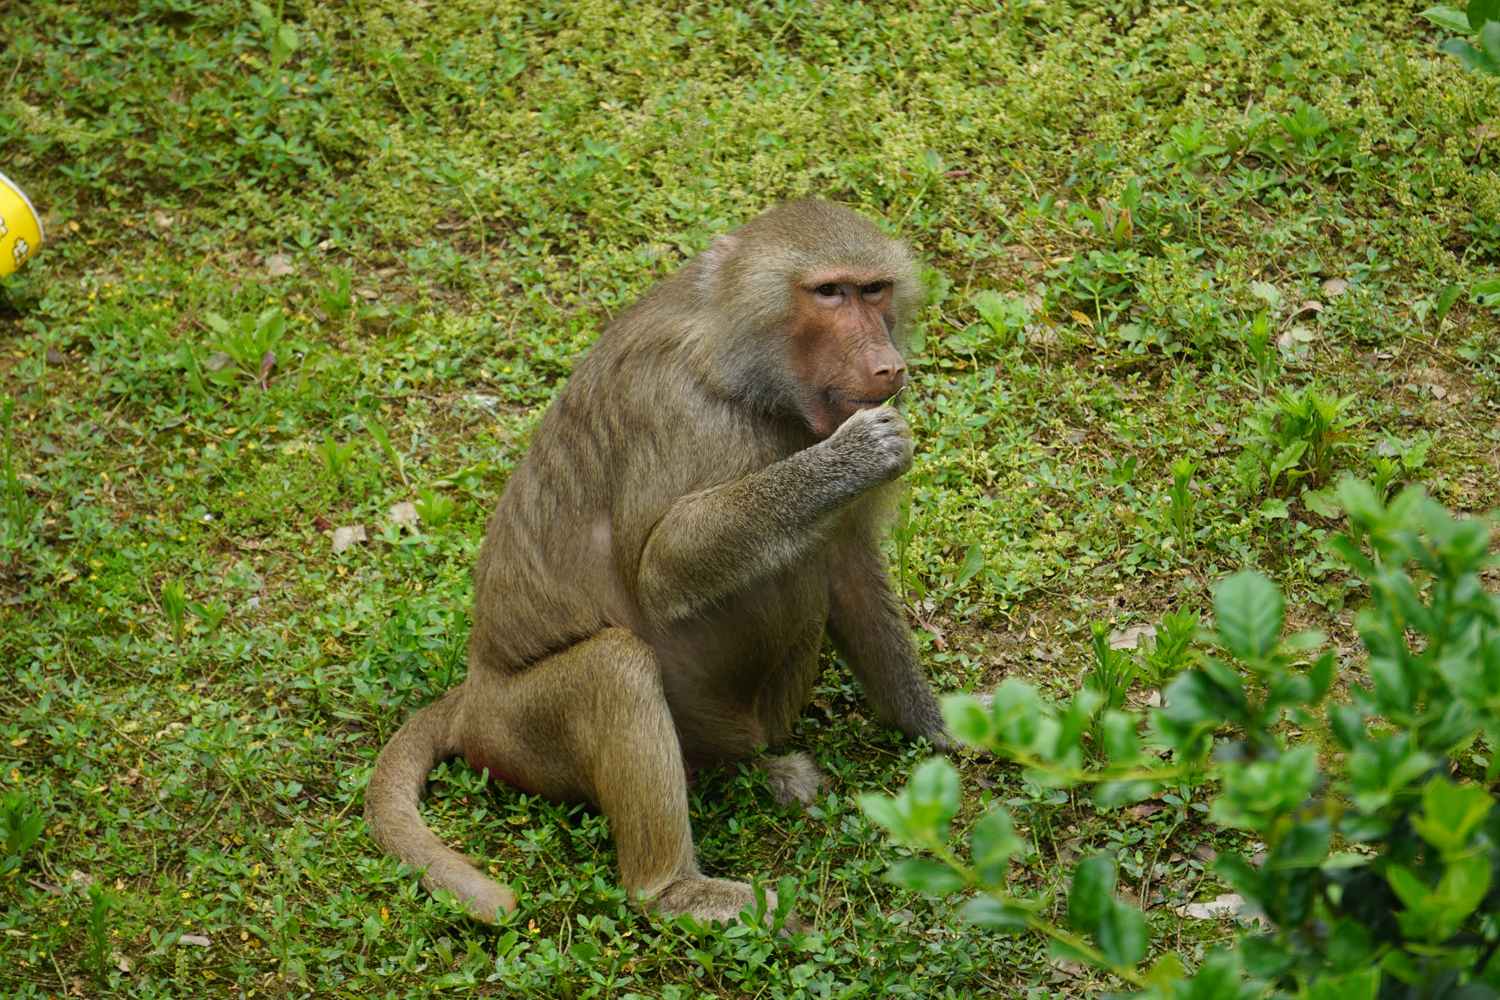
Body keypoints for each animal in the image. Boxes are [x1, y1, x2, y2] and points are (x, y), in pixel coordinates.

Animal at [364, 199, 951, 931]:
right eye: (829, 293)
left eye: (875, 291)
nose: (886, 366)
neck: (745, 373)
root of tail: (475, 694)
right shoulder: (678, 410)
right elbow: (663, 569)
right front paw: (851, 458)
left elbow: (847, 568)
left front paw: (947, 731)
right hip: (523, 733)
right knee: (615, 666)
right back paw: (676, 892)